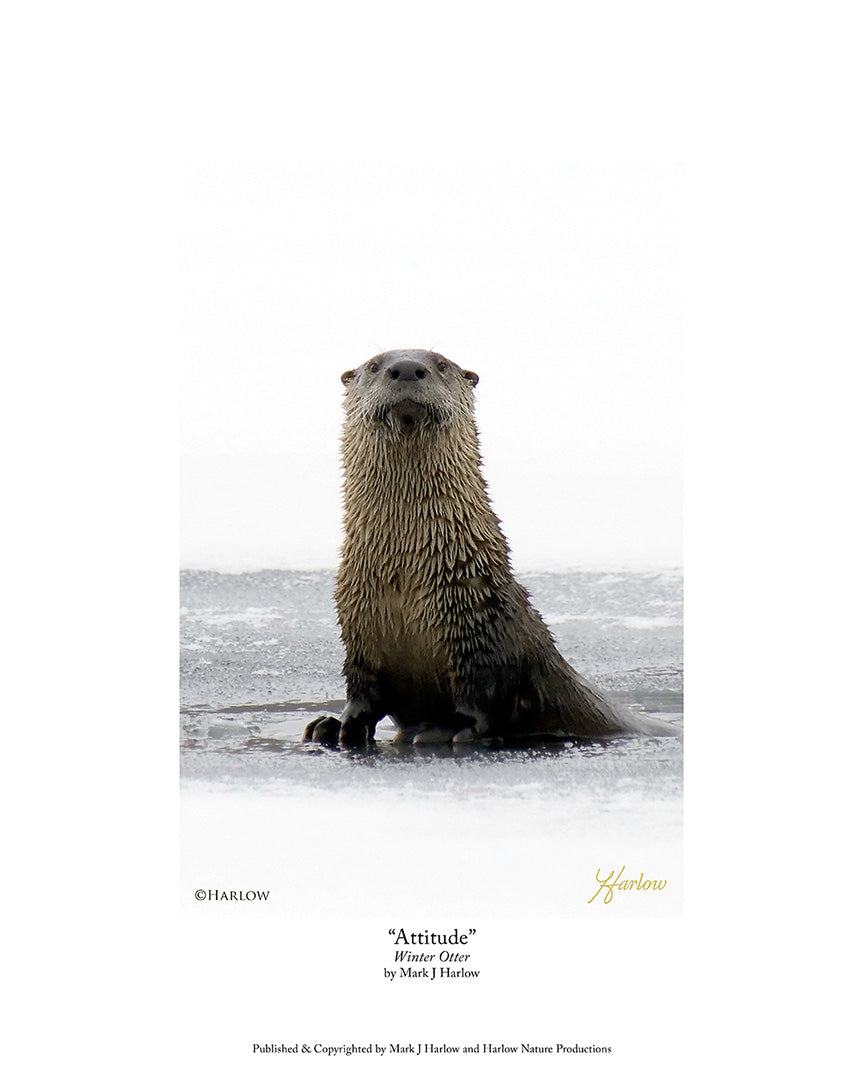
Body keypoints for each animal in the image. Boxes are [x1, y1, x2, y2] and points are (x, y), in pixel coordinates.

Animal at [304, 349, 656, 747]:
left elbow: (482, 698)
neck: (406, 576)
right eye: (375, 365)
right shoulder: (359, 632)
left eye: (441, 364)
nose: (407, 368)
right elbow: (362, 693)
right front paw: (333, 725)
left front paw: (446, 730)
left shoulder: (483, 630)